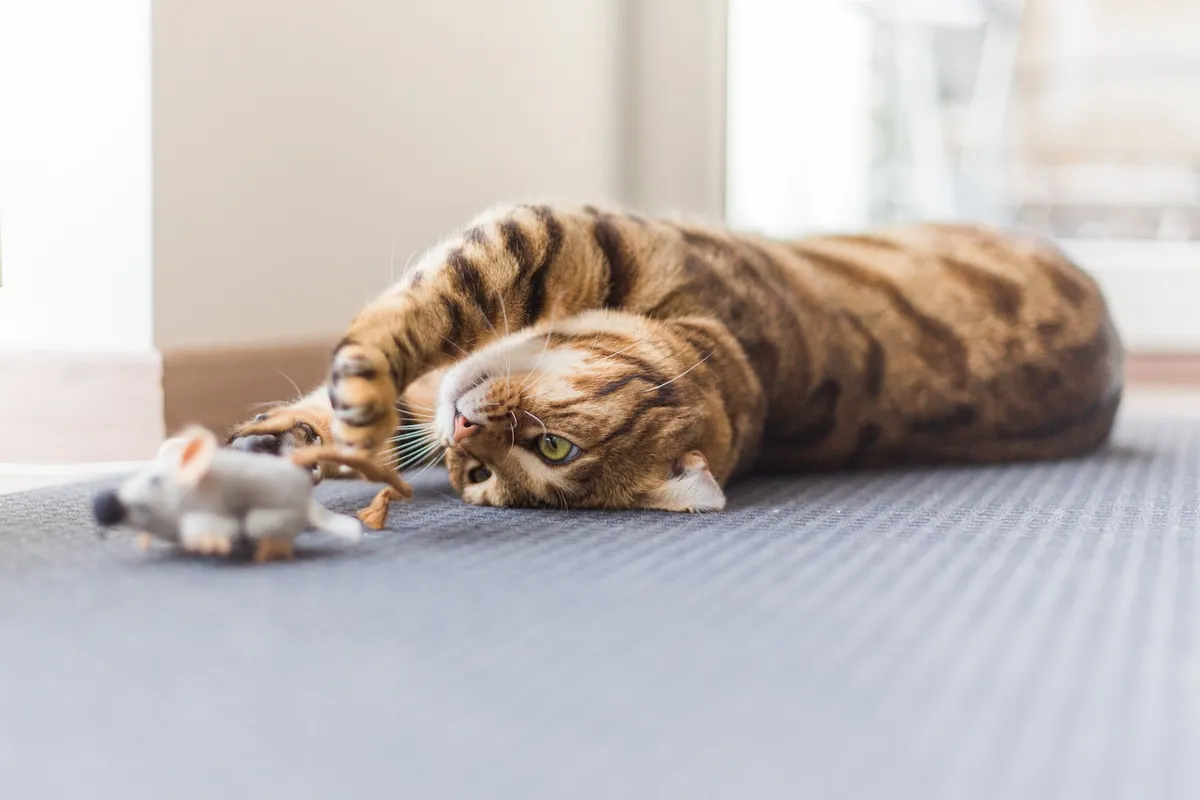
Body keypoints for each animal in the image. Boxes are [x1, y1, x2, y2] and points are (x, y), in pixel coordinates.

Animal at [225, 205, 1123, 513]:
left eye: (548, 451)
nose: (466, 438)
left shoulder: (544, 232)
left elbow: (430, 311)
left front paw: (347, 409)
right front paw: (291, 437)